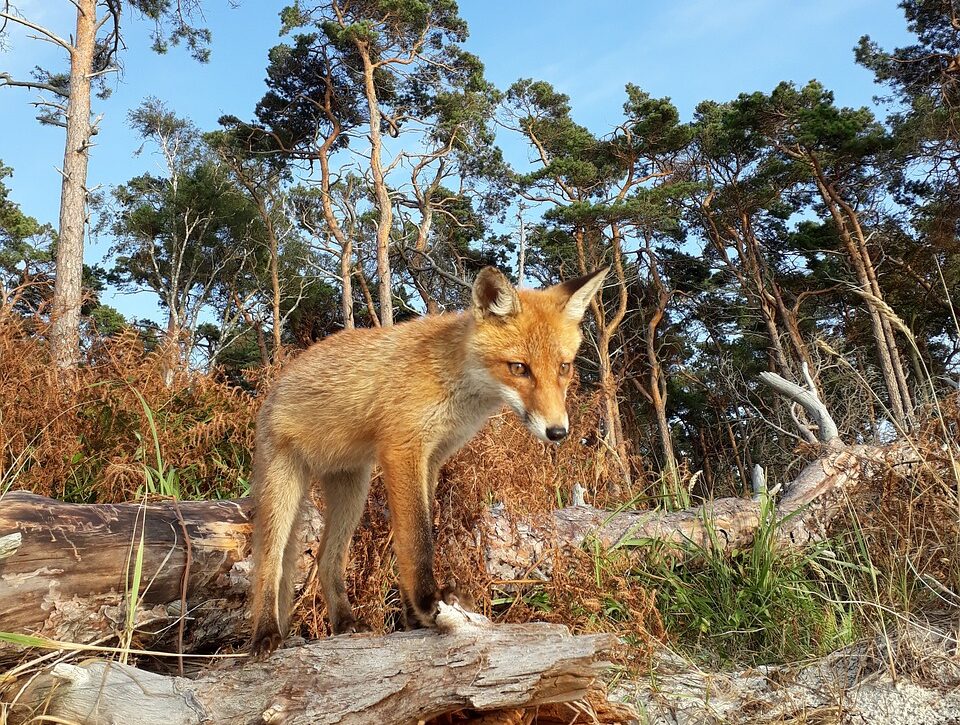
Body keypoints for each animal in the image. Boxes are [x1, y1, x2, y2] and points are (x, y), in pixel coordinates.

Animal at [249, 266, 608, 656]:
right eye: (519, 368)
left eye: (564, 368)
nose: (558, 431)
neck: (453, 381)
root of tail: (278, 381)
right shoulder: (403, 450)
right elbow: (418, 539)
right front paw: (427, 601)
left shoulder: (432, 458)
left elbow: (412, 540)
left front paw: (414, 617)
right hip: (283, 490)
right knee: (268, 564)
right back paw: (265, 633)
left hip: (352, 491)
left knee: (326, 558)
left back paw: (345, 622)